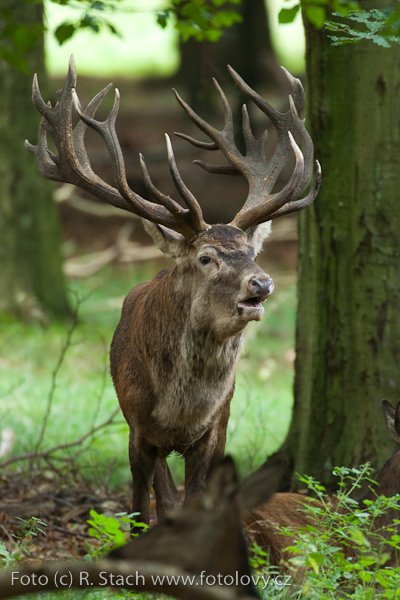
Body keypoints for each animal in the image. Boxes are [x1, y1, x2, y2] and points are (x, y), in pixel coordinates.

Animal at [25, 57, 322, 524]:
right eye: (205, 258)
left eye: (251, 251)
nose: (262, 282)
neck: (179, 413)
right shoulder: (137, 428)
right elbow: (138, 511)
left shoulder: (215, 431)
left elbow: (194, 503)